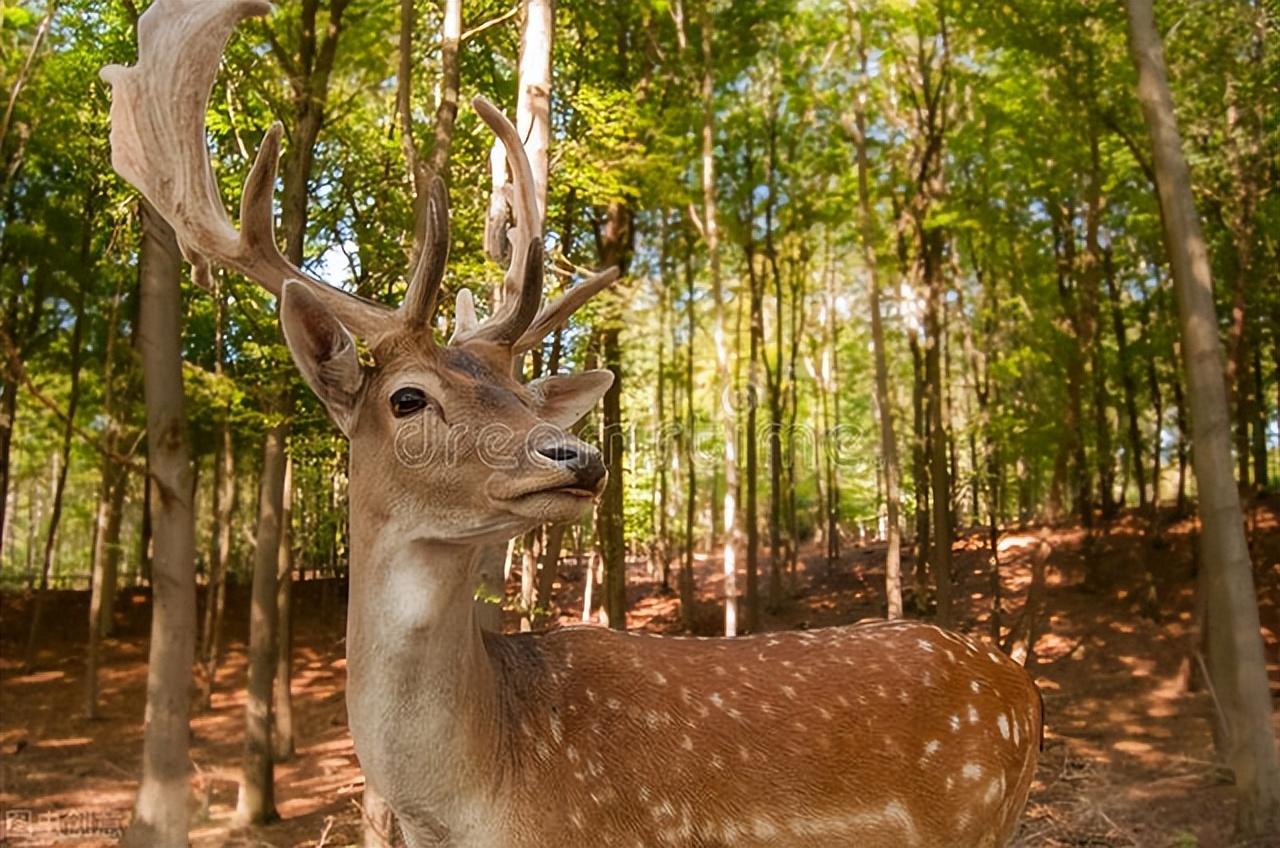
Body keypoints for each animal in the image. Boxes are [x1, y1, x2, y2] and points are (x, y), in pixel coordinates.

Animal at [99, 3, 1039, 845]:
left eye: (522, 390)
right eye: (407, 398)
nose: (578, 456)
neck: (477, 808)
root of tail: (1022, 689)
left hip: (974, 817)